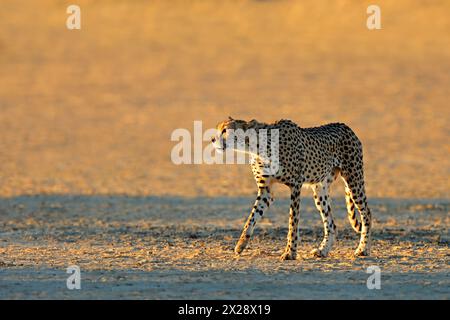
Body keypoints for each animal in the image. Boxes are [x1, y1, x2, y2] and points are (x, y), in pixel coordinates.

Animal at [212, 117, 372, 260]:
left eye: (225, 130)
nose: (213, 139)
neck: (256, 147)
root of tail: (345, 126)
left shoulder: (295, 185)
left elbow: (292, 222)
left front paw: (290, 252)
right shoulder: (265, 191)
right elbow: (251, 218)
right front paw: (240, 245)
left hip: (354, 179)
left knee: (367, 213)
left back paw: (362, 249)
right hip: (320, 189)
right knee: (331, 223)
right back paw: (323, 250)